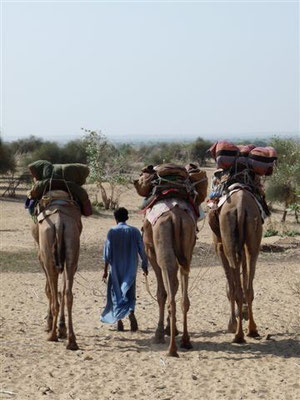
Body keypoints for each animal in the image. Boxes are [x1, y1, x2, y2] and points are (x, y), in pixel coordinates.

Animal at [31, 199, 82, 350]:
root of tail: (59, 222)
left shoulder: (41, 255)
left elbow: (48, 290)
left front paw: (49, 324)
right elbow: (63, 290)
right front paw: (62, 328)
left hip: (47, 250)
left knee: (54, 294)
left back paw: (52, 335)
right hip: (72, 240)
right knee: (68, 293)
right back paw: (71, 341)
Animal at [143, 206, 197, 356]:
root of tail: (175, 217)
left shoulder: (150, 252)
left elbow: (161, 293)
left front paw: (160, 333)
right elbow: (175, 286)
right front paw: (171, 328)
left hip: (162, 248)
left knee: (170, 298)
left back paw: (172, 349)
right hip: (187, 250)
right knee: (184, 298)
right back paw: (185, 341)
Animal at [210, 189, 262, 342]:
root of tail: (240, 206)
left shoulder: (220, 248)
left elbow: (230, 287)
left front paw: (231, 324)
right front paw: (242, 313)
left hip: (228, 241)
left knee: (237, 288)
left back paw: (238, 334)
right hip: (253, 234)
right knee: (249, 285)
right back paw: (252, 329)